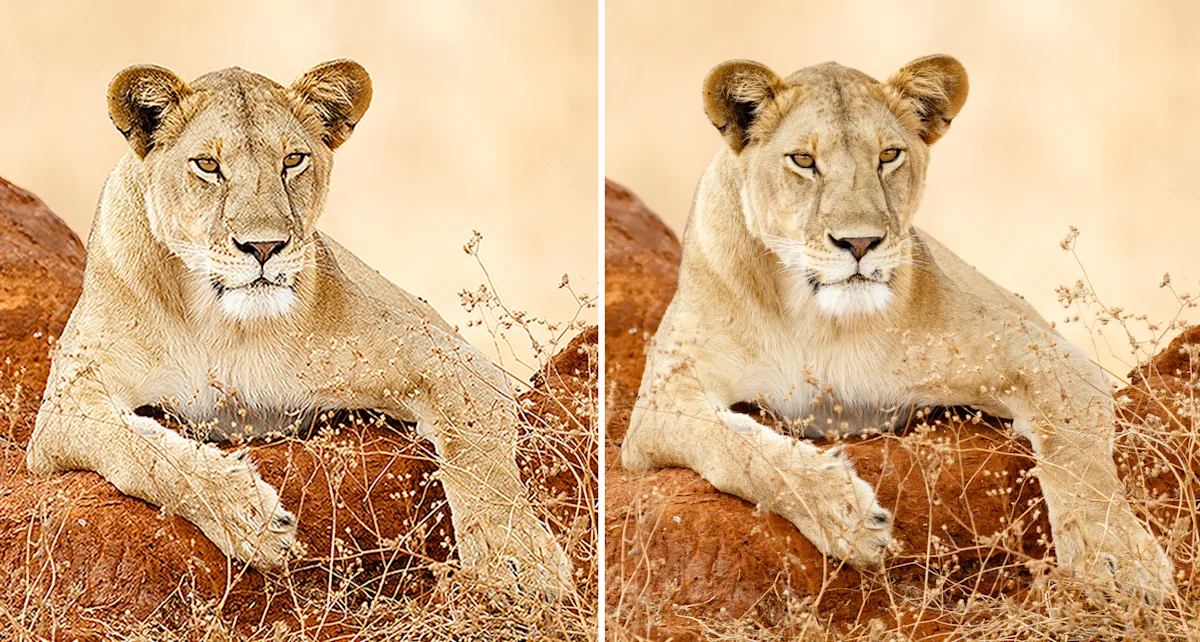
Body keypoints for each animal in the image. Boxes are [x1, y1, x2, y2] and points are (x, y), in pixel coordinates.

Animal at [25, 60, 572, 593]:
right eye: (208, 165)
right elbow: (145, 452)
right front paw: (250, 518)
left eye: (292, 160)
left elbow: (478, 454)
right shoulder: (66, 405)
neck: (215, 319)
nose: (264, 247)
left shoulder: (449, 359)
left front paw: (520, 558)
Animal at [622, 55, 1175, 602]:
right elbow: (740, 449)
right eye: (803, 160)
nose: (860, 242)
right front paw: (844, 515)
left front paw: (1120, 558)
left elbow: (1078, 457)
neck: (814, 318)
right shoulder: (661, 400)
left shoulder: (1045, 354)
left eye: (888, 155)